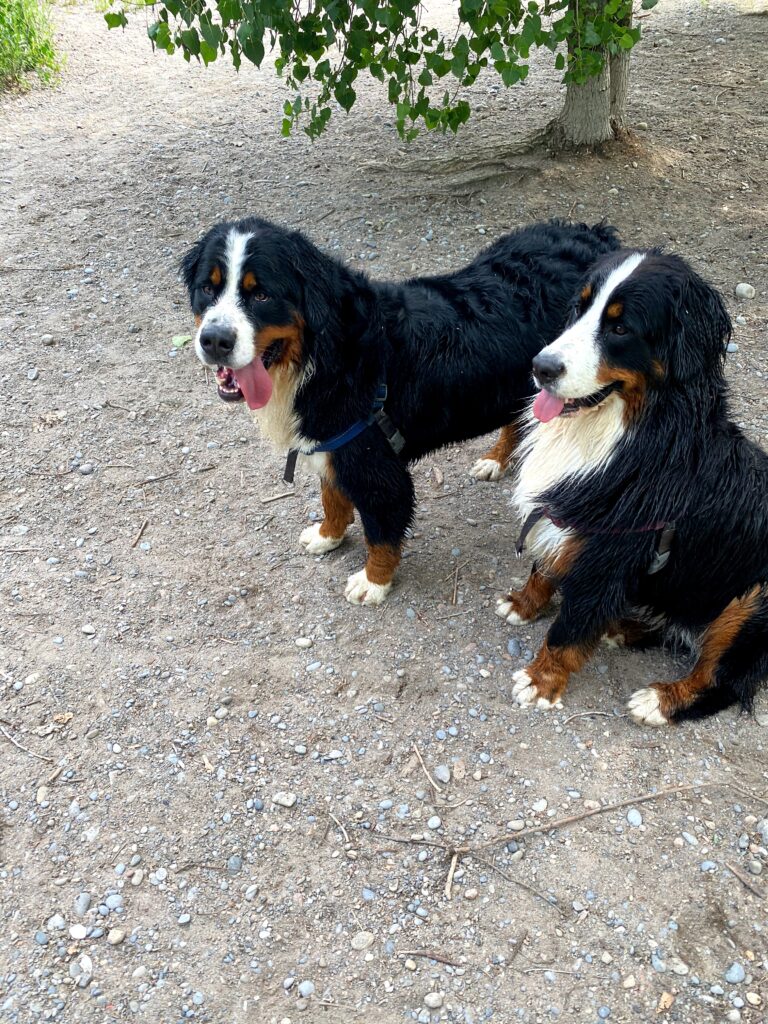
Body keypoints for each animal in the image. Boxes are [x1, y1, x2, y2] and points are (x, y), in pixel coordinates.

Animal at [183, 214, 622, 598]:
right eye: (208, 288)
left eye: (261, 294)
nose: (215, 340)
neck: (325, 353)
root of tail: (594, 233)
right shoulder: (333, 444)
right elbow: (332, 498)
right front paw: (327, 536)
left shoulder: (375, 465)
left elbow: (381, 534)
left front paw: (373, 582)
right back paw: (496, 459)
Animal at [501, 246, 765, 724]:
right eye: (579, 308)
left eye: (620, 327)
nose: (540, 367)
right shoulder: (565, 515)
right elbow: (543, 568)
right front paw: (524, 603)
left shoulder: (608, 556)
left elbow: (568, 629)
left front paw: (540, 680)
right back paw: (624, 626)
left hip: (751, 601)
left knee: (720, 679)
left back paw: (661, 699)